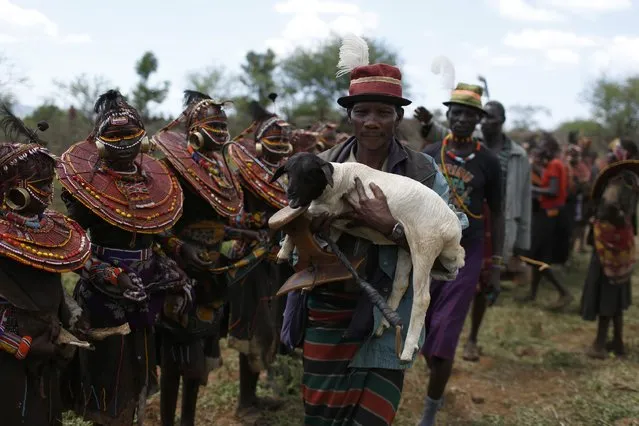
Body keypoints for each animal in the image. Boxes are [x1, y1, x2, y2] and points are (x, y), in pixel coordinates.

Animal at [270, 151, 464, 362]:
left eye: (309, 174)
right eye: (289, 172)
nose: (291, 195)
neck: (338, 178)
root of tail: (454, 232)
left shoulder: (331, 209)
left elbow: (304, 214)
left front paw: (285, 248)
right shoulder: (332, 222)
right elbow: (319, 235)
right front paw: (291, 256)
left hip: (425, 246)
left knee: (422, 299)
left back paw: (406, 350)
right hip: (407, 247)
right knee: (401, 284)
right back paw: (383, 325)